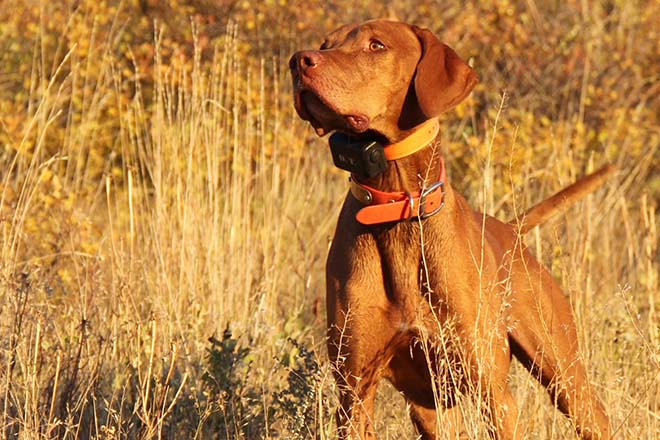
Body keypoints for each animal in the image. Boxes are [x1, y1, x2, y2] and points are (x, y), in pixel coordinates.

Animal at [288, 18, 612, 438]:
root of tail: (511, 232)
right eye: (326, 44)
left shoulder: (494, 394)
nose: (299, 61)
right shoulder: (354, 392)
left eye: (376, 45)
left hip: (564, 374)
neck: (398, 209)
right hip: (433, 408)